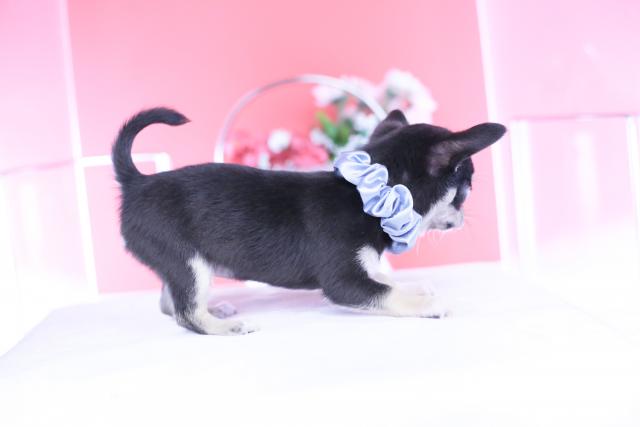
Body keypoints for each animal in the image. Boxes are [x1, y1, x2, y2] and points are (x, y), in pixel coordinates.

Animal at [112, 108, 505, 335]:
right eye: (464, 192)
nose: (461, 218)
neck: (365, 196)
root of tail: (138, 182)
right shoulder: (344, 282)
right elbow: (385, 291)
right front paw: (427, 305)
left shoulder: (361, 269)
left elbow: (383, 278)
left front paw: (415, 286)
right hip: (188, 263)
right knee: (185, 312)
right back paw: (224, 326)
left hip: (181, 265)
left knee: (169, 302)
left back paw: (215, 309)